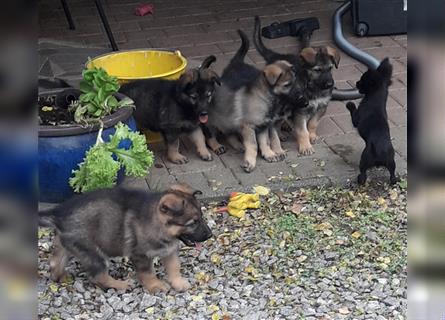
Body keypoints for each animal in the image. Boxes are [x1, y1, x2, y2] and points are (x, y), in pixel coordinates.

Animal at [38, 185, 212, 292]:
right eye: (193, 223)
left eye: (202, 217)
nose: (210, 235)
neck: (159, 224)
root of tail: (59, 214)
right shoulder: (140, 255)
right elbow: (148, 272)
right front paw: (155, 286)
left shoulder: (169, 250)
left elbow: (174, 266)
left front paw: (178, 283)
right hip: (92, 252)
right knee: (97, 276)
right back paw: (120, 285)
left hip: (69, 244)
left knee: (55, 262)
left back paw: (60, 276)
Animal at [206, 30, 298, 172]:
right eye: (287, 85)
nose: (301, 96)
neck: (264, 98)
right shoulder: (248, 126)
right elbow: (254, 145)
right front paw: (250, 162)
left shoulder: (263, 126)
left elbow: (264, 141)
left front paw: (269, 154)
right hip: (212, 121)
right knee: (210, 135)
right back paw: (217, 146)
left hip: (228, 121)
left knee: (229, 134)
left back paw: (238, 145)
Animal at [251, 16, 338, 156]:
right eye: (317, 70)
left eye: (330, 68)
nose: (330, 85)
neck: (312, 86)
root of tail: (275, 56)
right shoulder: (300, 111)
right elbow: (302, 131)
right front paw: (305, 147)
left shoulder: (321, 106)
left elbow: (313, 124)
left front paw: (312, 136)